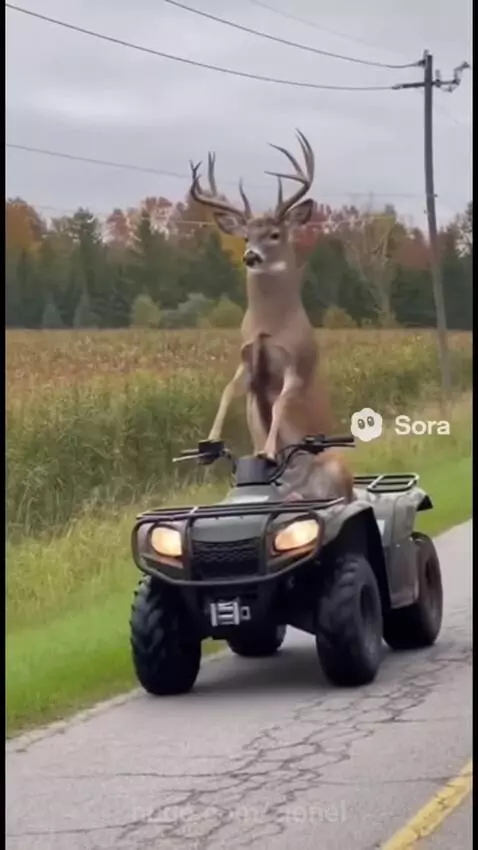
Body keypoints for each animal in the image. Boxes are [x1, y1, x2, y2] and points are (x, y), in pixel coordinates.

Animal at [188, 130, 355, 503]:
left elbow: (279, 404)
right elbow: (226, 390)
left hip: (339, 472)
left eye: (275, 234)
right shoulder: (247, 362)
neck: (269, 328)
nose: (250, 256)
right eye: (245, 236)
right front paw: (210, 441)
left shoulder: (297, 364)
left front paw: (266, 449)